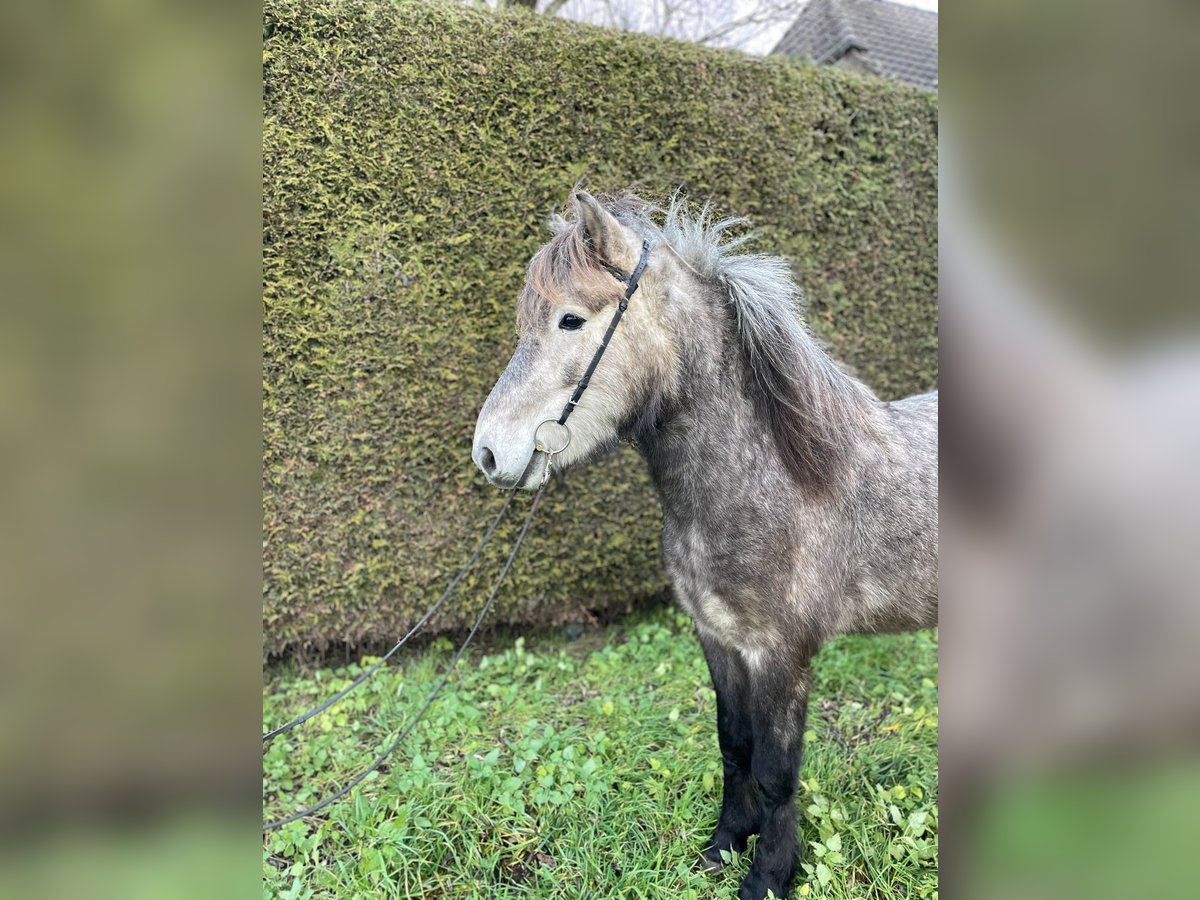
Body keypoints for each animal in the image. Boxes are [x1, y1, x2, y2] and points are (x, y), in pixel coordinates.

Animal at [468, 192, 936, 900]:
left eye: (571, 319)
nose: (489, 452)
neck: (772, 480)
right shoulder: (718, 640)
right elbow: (733, 746)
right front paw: (724, 846)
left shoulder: (779, 656)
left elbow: (775, 770)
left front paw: (769, 875)